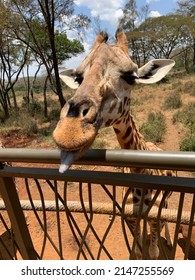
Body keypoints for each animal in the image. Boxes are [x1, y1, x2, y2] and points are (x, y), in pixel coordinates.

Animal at [53, 29, 175, 260]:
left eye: (131, 77)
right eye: (78, 78)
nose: (70, 132)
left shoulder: (153, 218)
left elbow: (153, 252)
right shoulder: (130, 219)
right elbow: (137, 250)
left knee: (165, 222)